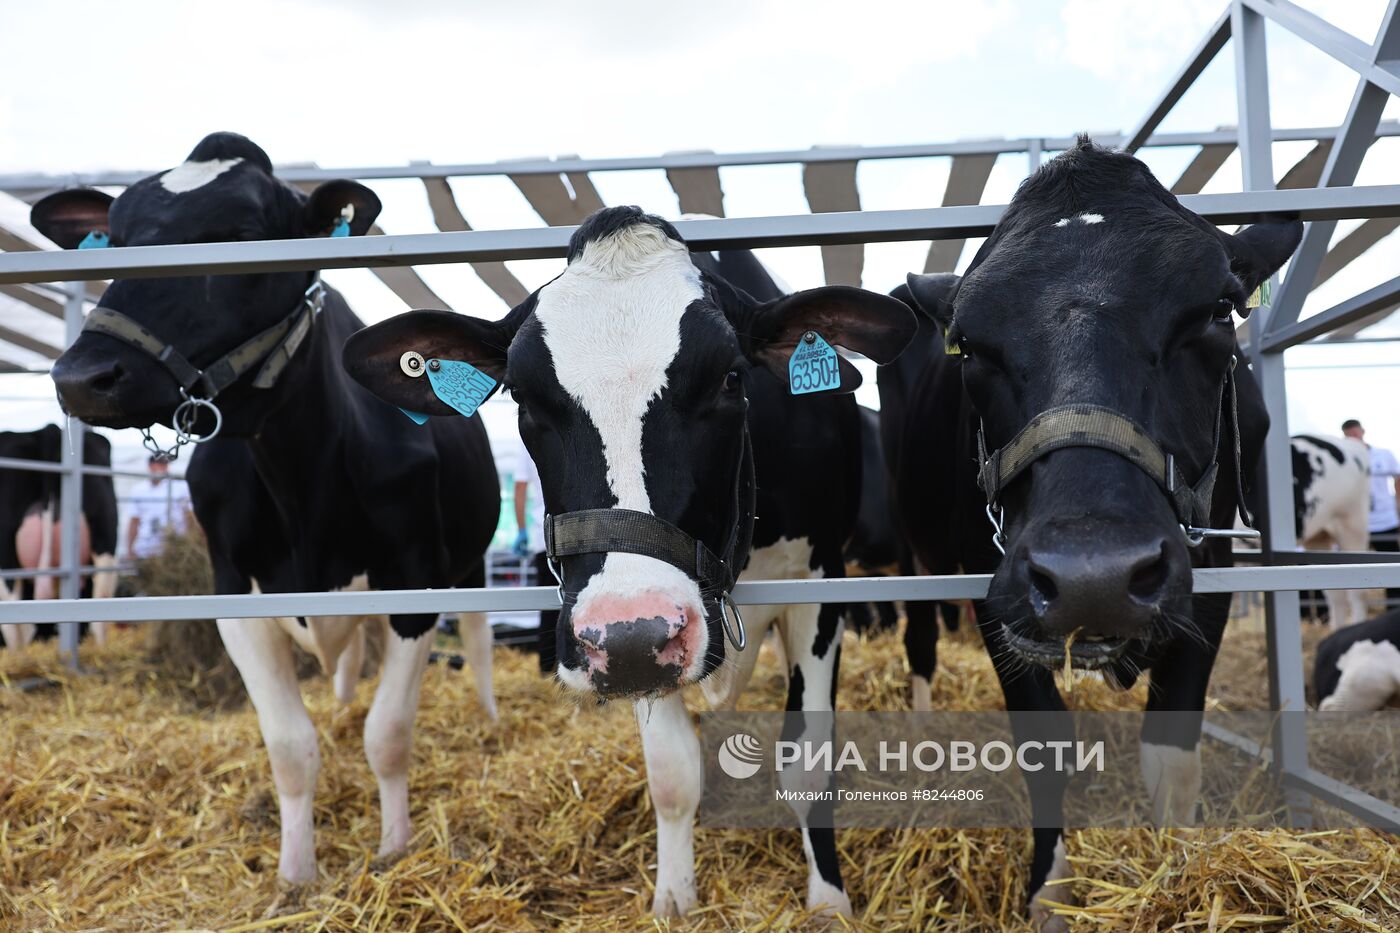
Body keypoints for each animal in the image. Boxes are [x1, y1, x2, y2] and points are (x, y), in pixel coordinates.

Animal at [30, 134, 504, 885]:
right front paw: (295, 876)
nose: (82, 376)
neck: (301, 478)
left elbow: (389, 735)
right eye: (117, 240)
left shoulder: (416, 580)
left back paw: (487, 717)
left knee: (481, 638)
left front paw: (394, 849)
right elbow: (289, 746)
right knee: (348, 663)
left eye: (244, 234)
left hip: (473, 559)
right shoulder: (235, 593)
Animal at [341, 205, 918, 913]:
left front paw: (828, 902)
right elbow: (672, 773)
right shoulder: (640, 661)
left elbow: (807, 760)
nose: (630, 632)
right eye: (522, 398)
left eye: (731, 378)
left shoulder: (820, 587)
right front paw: (675, 899)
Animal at [890, 137, 1293, 924]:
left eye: (1216, 312)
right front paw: (1051, 891)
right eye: (967, 345)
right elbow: (1044, 744)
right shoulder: (995, 586)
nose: (1091, 576)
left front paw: (1178, 876)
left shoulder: (1215, 572)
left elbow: (1171, 748)